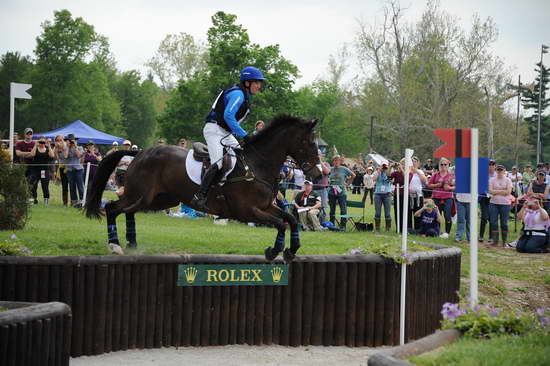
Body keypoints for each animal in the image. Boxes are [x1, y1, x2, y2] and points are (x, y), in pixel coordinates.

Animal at [85, 116, 324, 262]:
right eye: (309, 143)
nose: (318, 174)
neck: (258, 165)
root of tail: (140, 152)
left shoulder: (266, 207)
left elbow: (290, 219)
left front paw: (291, 250)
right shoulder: (247, 211)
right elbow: (280, 223)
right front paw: (274, 250)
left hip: (159, 199)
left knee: (129, 211)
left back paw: (132, 243)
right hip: (141, 195)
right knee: (112, 208)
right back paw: (115, 245)